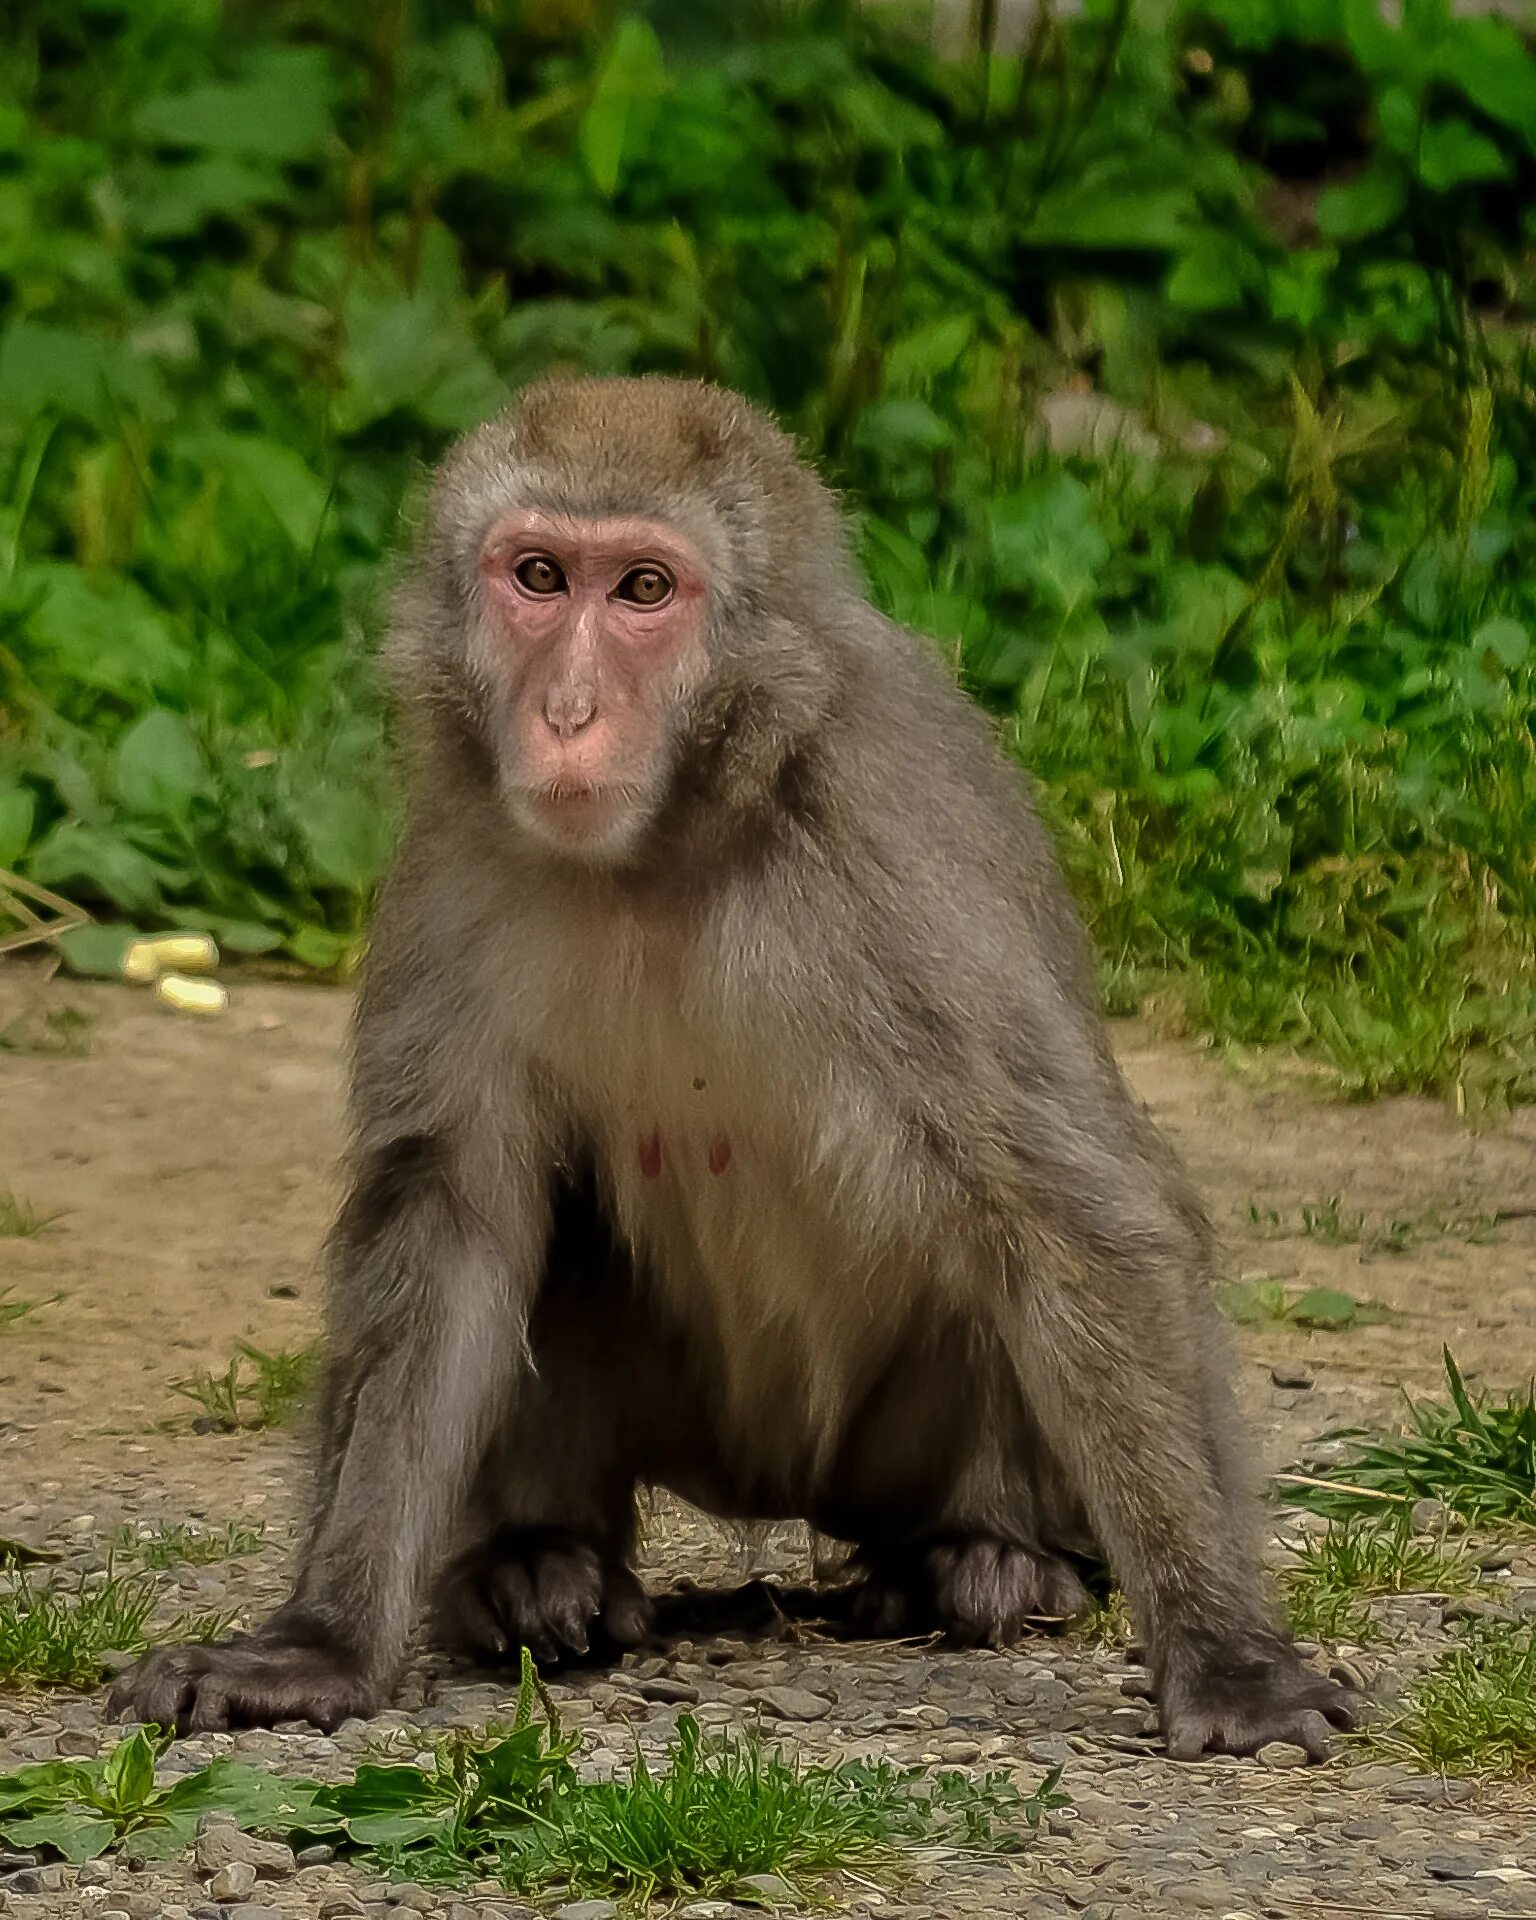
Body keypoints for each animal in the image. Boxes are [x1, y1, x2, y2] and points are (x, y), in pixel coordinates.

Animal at [117, 370, 1359, 1758]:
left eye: (644, 591)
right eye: (537, 575)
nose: (566, 712)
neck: (675, 841)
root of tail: (778, 1488)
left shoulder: (895, 828)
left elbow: (1073, 1207)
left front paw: (1229, 1656)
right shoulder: (461, 853)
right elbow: (447, 1212)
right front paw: (317, 1644)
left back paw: (983, 1559)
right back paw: (534, 1565)